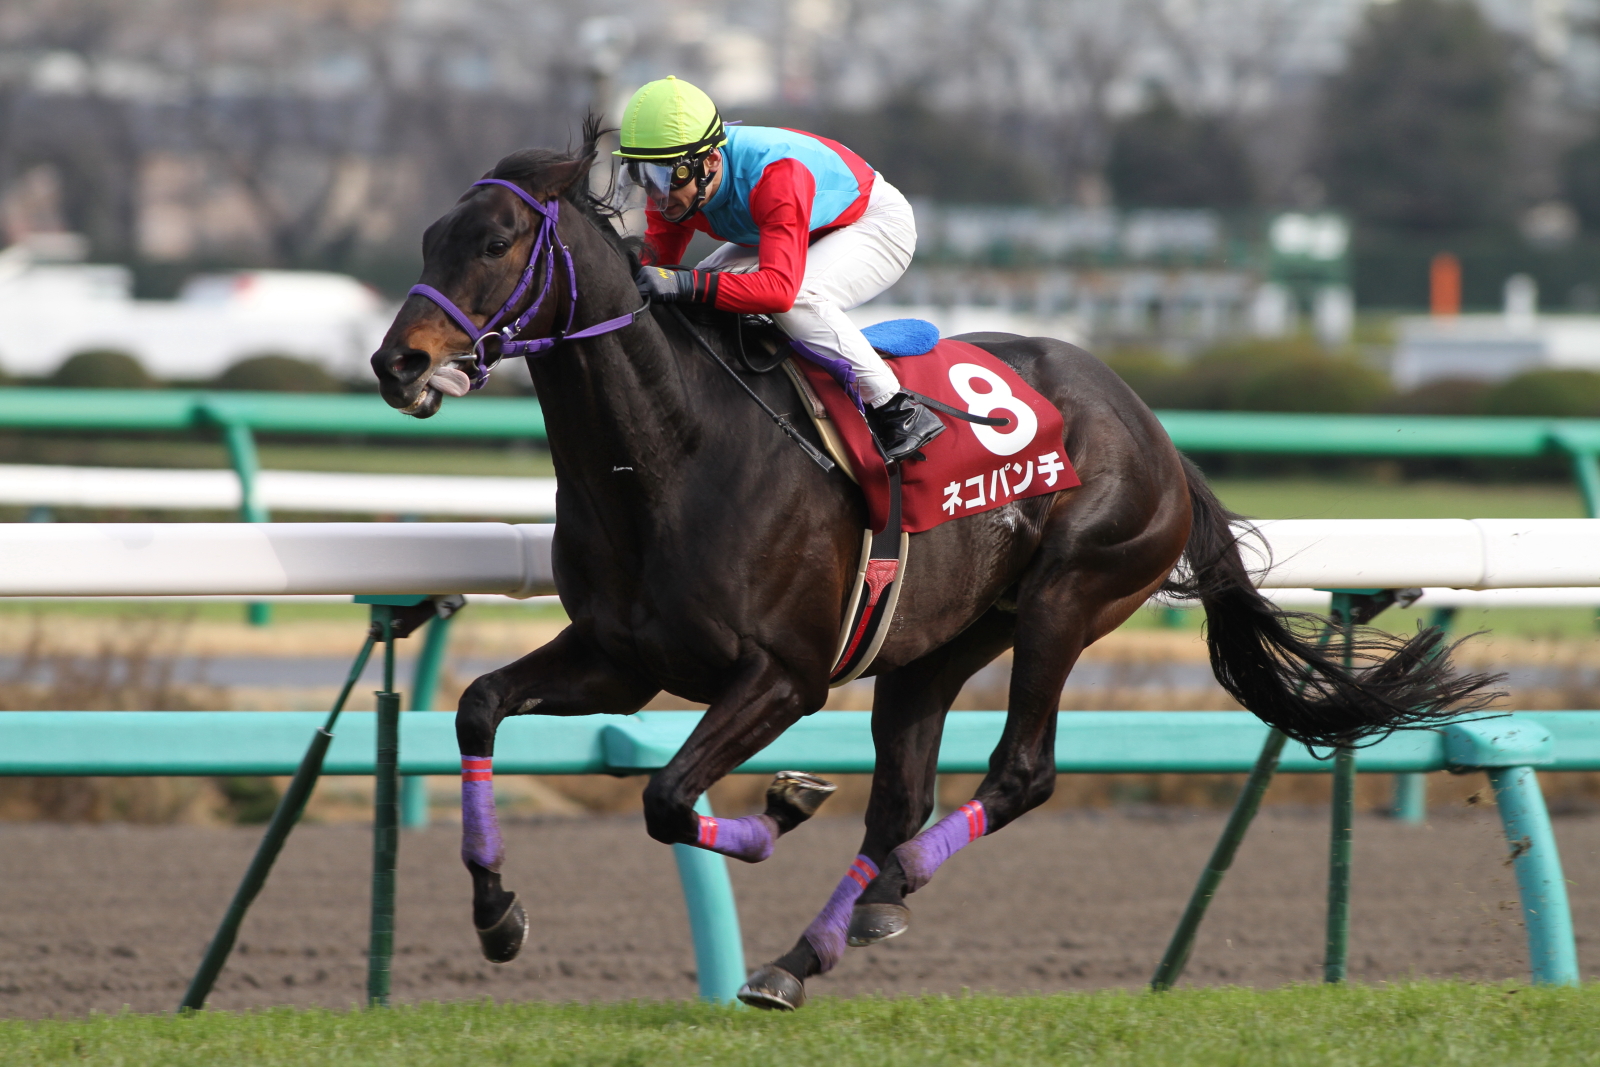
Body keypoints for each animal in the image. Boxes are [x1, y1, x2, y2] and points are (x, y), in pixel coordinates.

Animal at [369, 123, 1495, 1009]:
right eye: (427, 238)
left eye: (498, 241)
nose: (398, 361)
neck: (670, 453)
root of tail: (1157, 431)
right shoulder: (623, 658)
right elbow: (478, 707)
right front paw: (497, 912)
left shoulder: (783, 673)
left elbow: (664, 796)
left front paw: (781, 806)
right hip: (934, 644)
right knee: (900, 796)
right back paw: (818, 942)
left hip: (1067, 597)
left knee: (1020, 771)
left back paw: (881, 888)